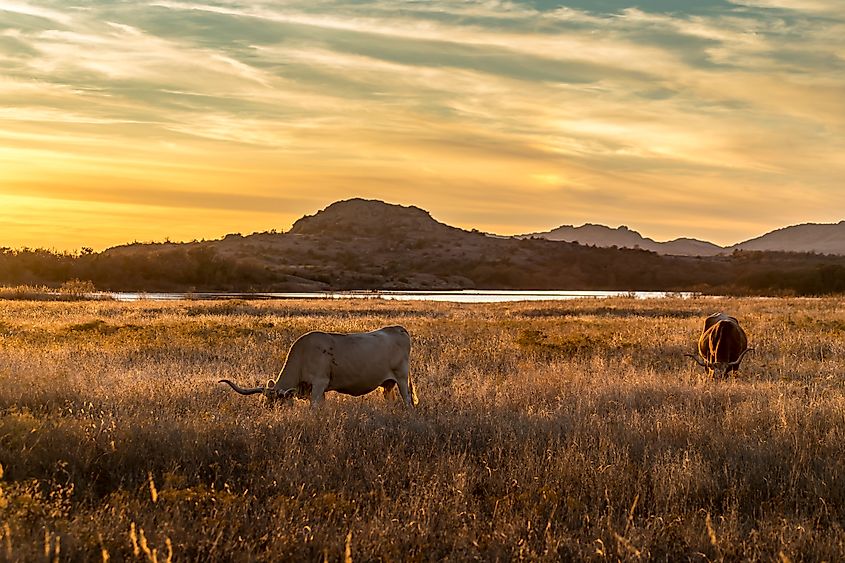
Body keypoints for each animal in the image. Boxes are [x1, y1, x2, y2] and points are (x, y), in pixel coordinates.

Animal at [218, 328, 416, 408]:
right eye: (266, 402)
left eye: (278, 404)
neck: (303, 355)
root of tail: (398, 329)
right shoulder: (319, 390)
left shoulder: (319, 383)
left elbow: (313, 408)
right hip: (388, 383)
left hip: (401, 378)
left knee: (407, 400)